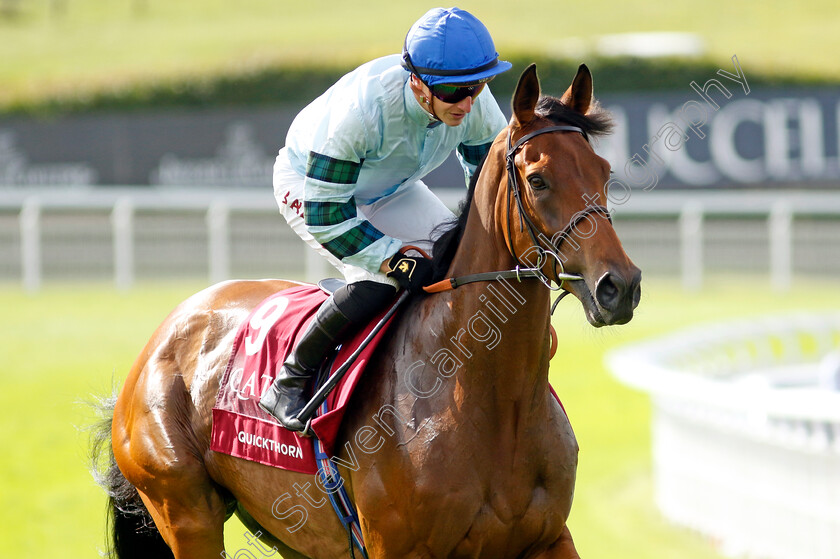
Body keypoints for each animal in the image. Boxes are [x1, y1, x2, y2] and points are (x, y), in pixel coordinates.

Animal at [93, 64, 644, 559]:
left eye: (605, 172)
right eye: (538, 179)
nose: (619, 286)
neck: (491, 400)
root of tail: (166, 333)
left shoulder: (548, 538)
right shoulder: (396, 547)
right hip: (186, 512)